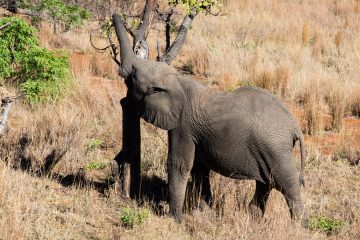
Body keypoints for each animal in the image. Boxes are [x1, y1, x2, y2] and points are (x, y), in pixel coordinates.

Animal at [113, 13, 306, 223]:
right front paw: (205, 212)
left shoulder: (183, 126)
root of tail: (295, 127)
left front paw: (175, 219)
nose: (116, 15)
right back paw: (254, 219)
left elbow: (179, 164)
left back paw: (297, 226)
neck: (178, 79)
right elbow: (199, 169)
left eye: (132, 77)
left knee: (288, 188)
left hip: (277, 150)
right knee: (265, 184)